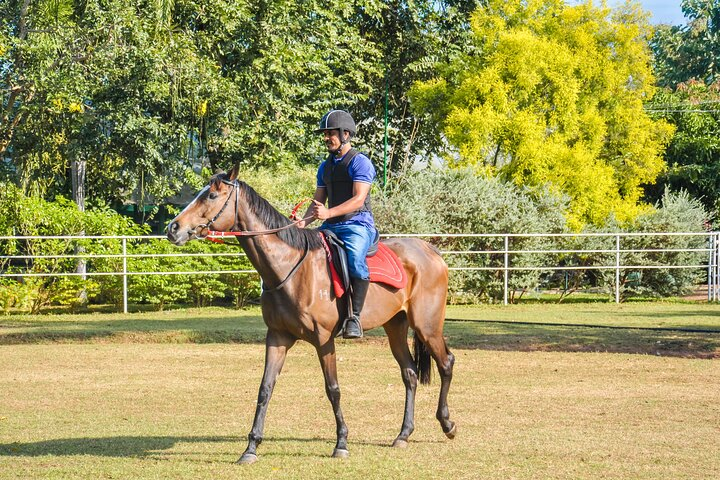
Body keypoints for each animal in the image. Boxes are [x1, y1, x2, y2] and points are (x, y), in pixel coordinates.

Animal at [166, 167, 452, 464]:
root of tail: (431, 251)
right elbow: (265, 388)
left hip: (427, 327)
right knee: (410, 374)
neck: (290, 267)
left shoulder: (324, 340)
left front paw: (341, 443)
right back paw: (403, 434)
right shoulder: (277, 338)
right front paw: (251, 447)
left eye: (211, 195)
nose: (173, 228)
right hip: (396, 327)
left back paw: (447, 424)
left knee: (446, 363)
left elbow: (333, 389)